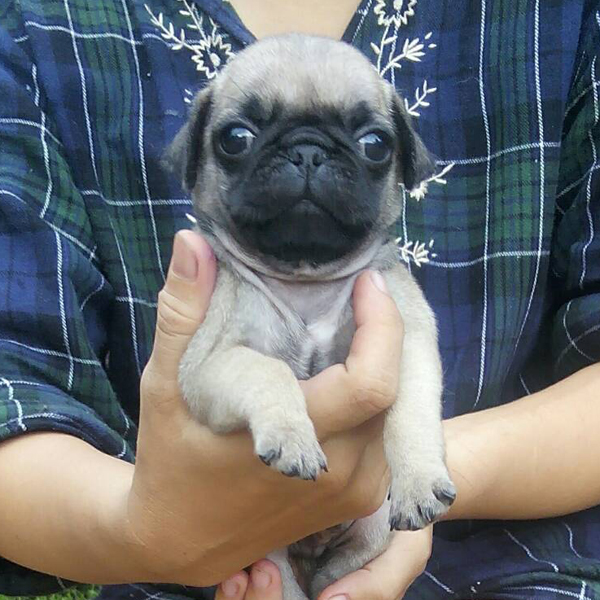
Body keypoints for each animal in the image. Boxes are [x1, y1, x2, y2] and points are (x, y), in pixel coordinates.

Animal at [166, 33, 455, 600]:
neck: (305, 282)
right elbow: (267, 369)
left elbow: (412, 412)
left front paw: (418, 480)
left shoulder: (409, 338)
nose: (307, 149)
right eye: (235, 138)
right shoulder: (208, 364)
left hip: (368, 535)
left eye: (375, 144)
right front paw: (293, 436)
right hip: (268, 561)